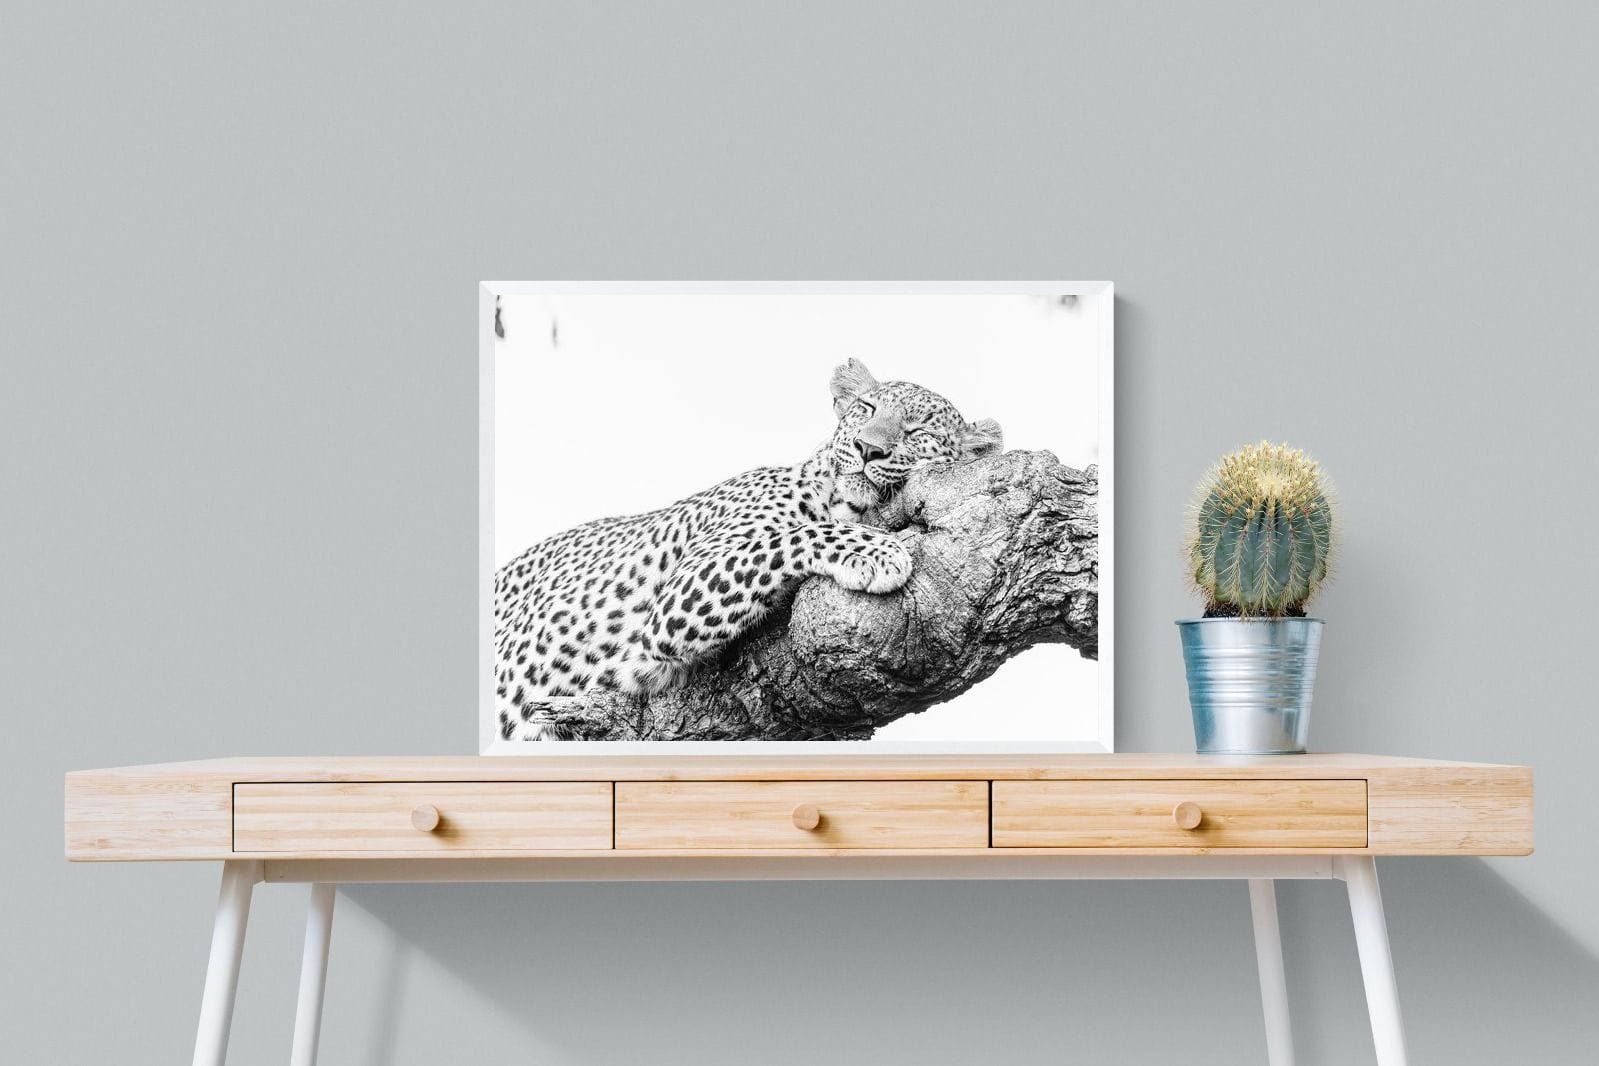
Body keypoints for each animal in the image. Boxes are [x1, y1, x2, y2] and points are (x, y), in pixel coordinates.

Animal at [494, 357, 1002, 740]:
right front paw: (880, 551)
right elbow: (790, 536)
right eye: (866, 407)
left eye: (918, 431)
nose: (867, 448)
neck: (839, 498)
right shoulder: (679, 595)